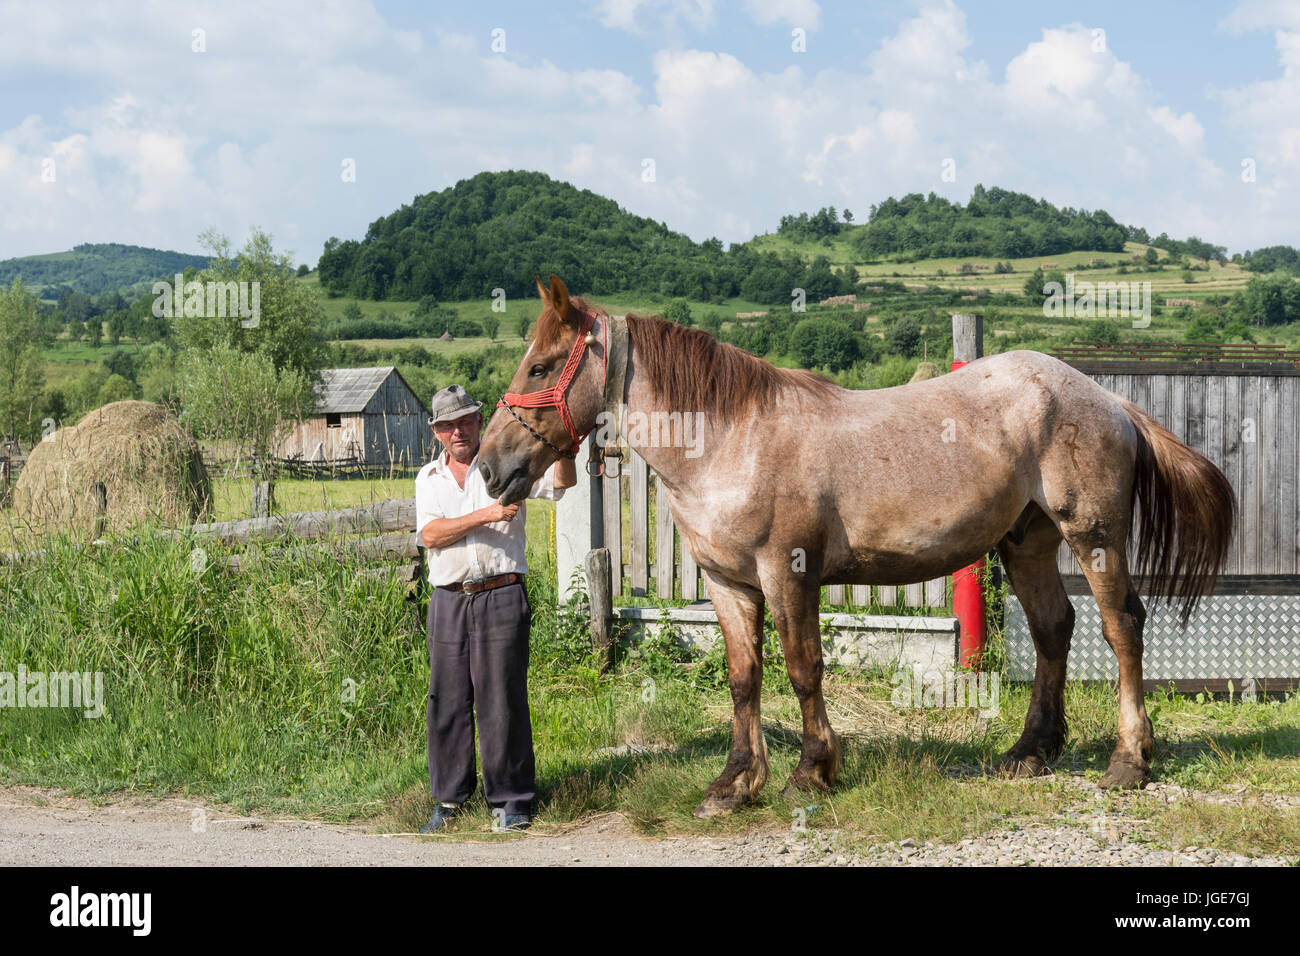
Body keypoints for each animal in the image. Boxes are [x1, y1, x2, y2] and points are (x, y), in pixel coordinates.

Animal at [480, 273, 1237, 816]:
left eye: (542, 365)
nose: (490, 466)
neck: (731, 438)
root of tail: (1110, 401)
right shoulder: (729, 585)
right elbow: (743, 677)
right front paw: (735, 783)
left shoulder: (787, 575)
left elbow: (803, 669)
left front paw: (811, 772)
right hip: (1026, 542)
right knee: (1055, 628)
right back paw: (1030, 751)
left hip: (1094, 536)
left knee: (1122, 628)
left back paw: (1129, 761)